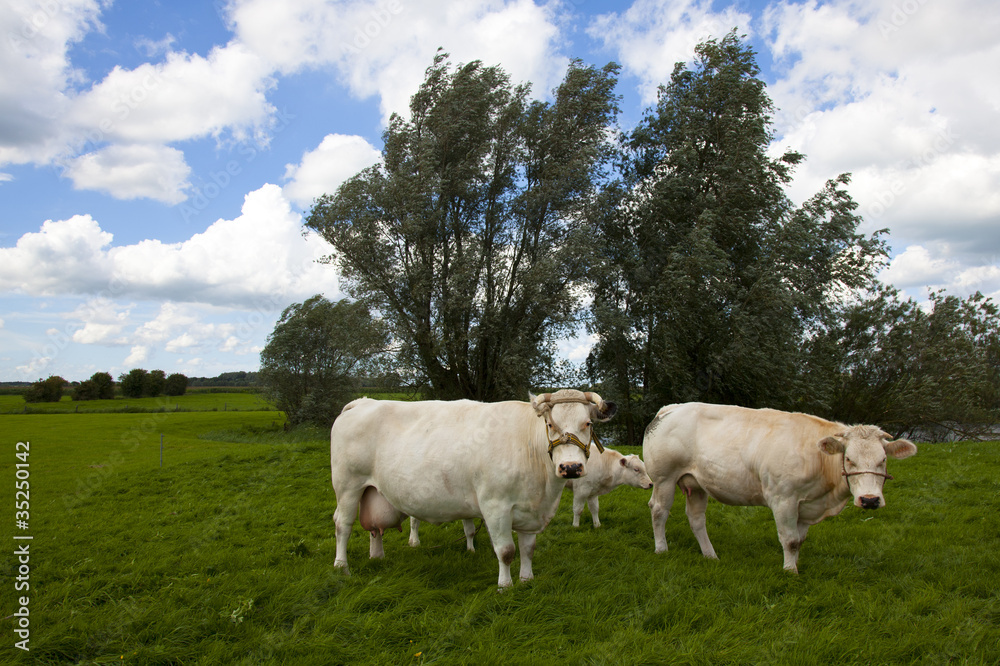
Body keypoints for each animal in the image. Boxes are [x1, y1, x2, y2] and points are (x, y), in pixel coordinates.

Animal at [329, 389, 618, 588]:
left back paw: (377, 557)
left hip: (371, 490)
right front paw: (505, 586)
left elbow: (528, 549)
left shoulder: (530, 512)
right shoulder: (495, 506)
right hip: (347, 486)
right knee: (343, 525)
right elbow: (506, 551)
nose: (571, 468)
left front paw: (527, 580)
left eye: (588, 424)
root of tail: (364, 401)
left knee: (374, 529)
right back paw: (342, 566)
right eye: (550, 424)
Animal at [643, 402, 917, 573]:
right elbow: (790, 540)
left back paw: (710, 555)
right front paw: (789, 571)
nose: (870, 500)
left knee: (697, 519)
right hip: (664, 478)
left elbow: (800, 540)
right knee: (659, 511)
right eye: (849, 459)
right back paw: (661, 549)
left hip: (697, 483)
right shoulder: (783, 498)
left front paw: (794, 565)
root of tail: (673, 408)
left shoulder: (807, 505)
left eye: (883, 460)